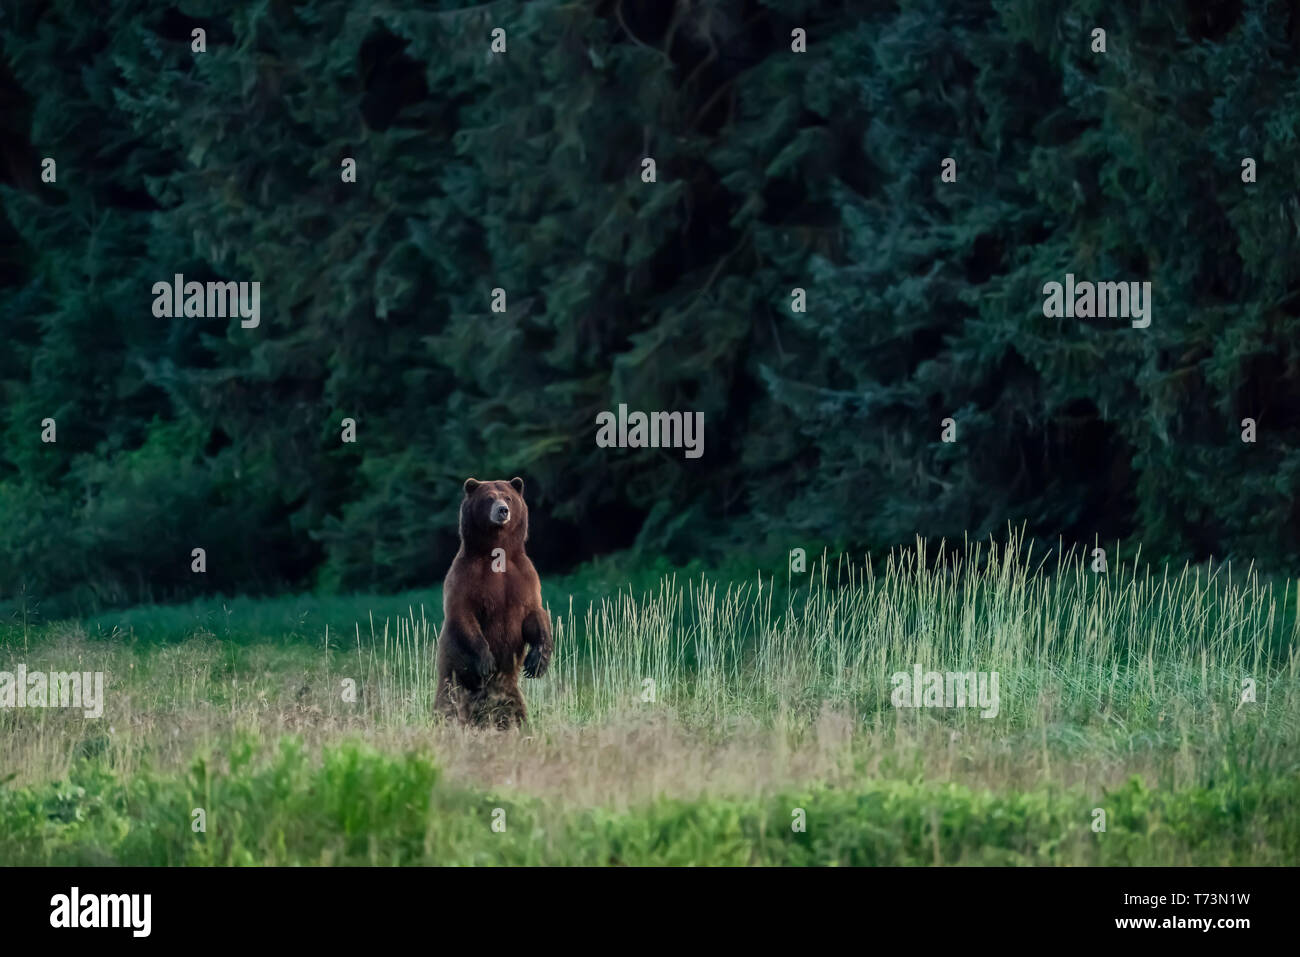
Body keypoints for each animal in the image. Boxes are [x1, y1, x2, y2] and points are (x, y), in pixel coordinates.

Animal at [434, 475, 551, 728]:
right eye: (489, 498)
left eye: (508, 497)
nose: (503, 510)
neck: (498, 555)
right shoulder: (466, 577)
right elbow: (463, 614)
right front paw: (486, 660)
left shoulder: (524, 577)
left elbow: (534, 615)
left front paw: (537, 662)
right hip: (454, 681)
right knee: (448, 706)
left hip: (509, 692)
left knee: (515, 712)